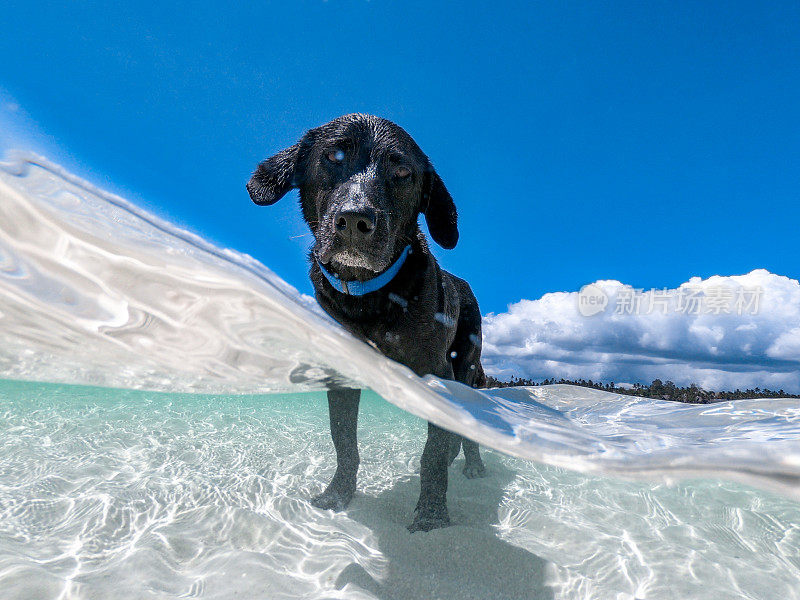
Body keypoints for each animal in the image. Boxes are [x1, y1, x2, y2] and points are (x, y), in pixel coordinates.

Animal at [248, 115, 488, 532]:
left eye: (403, 172)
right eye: (333, 156)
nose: (354, 219)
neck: (370, 294)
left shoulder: (438, 374)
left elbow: (432, 453)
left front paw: (431, 514)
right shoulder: (342, 375)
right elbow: (344, 443)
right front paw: (337, 495)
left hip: (466, 366)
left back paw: (472, 465)